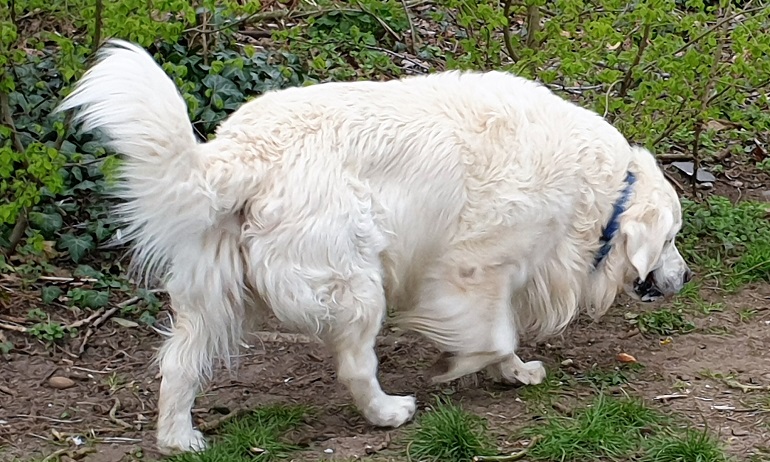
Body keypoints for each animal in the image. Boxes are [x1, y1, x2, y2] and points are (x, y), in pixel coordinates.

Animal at [55, 40, 688, 454]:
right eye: (673, 239)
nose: (683, 278)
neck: (603, 190)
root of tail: (240, 151)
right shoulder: (473, 268)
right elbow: (494, 332)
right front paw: (456, 365)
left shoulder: (505, 273)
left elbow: (503, 334)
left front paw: (512, 371)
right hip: (356, 284)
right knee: (356, 366)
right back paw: (388, 412)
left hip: (211, 299)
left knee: (179, 365)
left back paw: (178, 438)